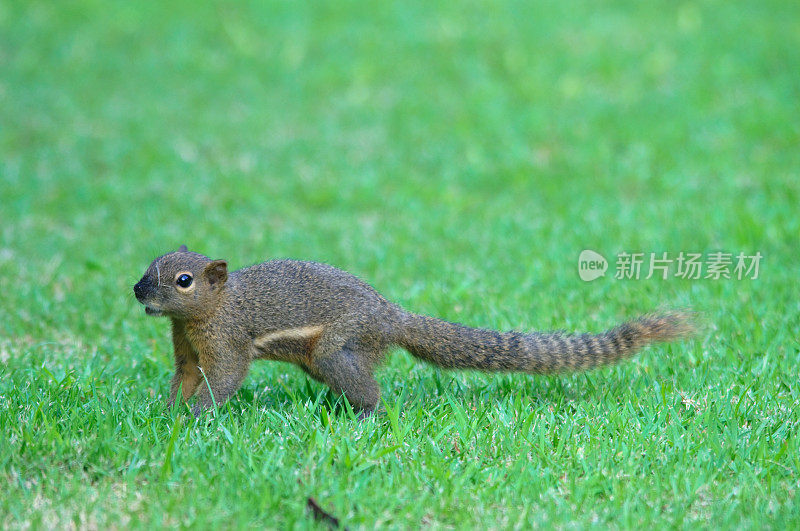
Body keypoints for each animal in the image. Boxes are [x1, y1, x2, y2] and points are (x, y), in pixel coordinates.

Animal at [131, 246, 692, 420]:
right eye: (151, 263)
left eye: (183, 280)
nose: (137, 291)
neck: (214, 308)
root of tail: (391, 316)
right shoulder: (185, 349)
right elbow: (184, 377)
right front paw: (168, 413)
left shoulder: (227, 341)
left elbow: (224, 379)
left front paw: (196, 415)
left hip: (337, 348)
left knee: (370, 389)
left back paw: (364, 416)